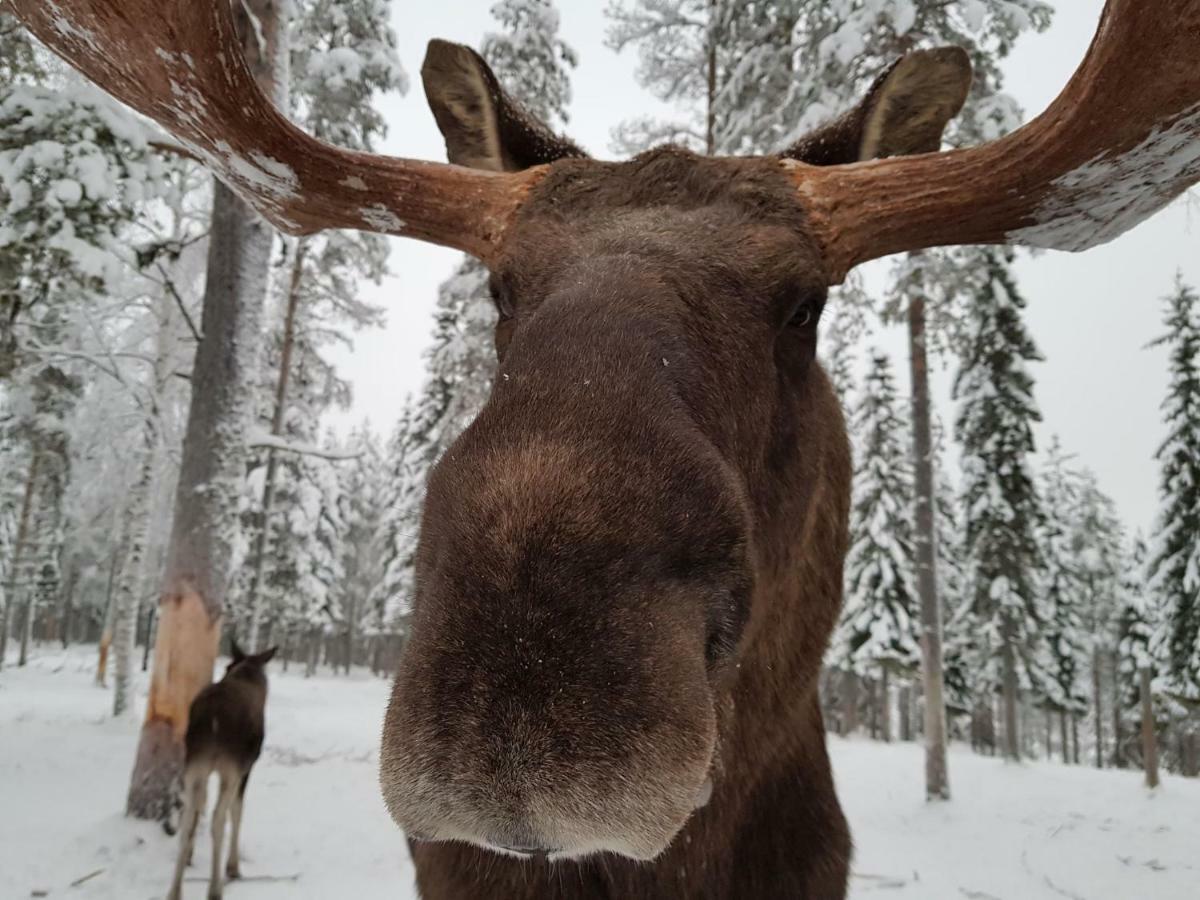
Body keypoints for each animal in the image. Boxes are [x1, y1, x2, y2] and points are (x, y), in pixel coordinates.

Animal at [166, 643, 276, 900]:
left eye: (226, 665)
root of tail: (212, 717)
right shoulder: (246, 768)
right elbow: (237, 811)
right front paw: (233, 866)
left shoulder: (206, 772)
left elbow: (198, 810)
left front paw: (190, 856)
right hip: (229, 768)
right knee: (218, 819)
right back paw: (215, 888)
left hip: (195, 763)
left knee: (187, 819)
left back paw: (174, 891)